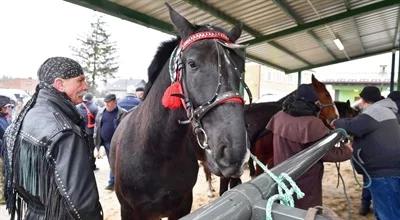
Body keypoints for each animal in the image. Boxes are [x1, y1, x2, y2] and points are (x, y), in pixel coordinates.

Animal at [108, 3, 247, 220]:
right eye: (192, 64)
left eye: (241, 68)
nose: (234, 151)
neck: (158, 152)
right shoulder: (129, 211)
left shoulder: (181, 206)